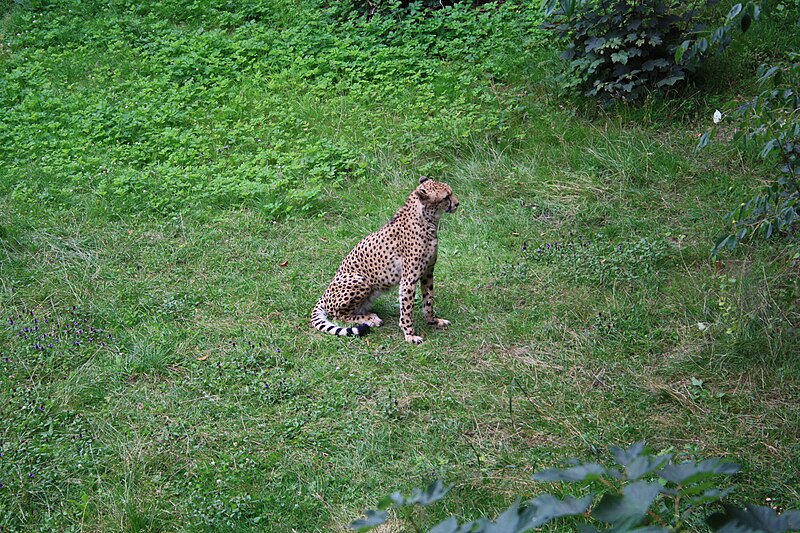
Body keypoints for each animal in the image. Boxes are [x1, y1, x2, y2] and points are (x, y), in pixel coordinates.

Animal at [310, 178, 460, 344]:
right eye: (446, 197)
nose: (457, 203)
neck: (427, 219)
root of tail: (325, 295)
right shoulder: (408, 279)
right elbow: (407, 309)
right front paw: (409, 335)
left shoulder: (428, 272)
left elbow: (429, 300)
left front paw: (433, 321)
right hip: (360, 280)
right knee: (338, 315)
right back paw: (369, 319)